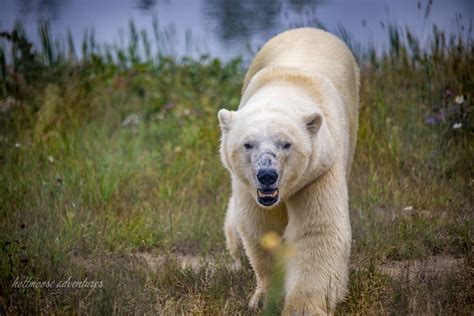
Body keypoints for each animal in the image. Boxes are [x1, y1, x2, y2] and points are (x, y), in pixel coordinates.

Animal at [218, 28, 360, 314]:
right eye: (248, 144)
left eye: (286, 144)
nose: (267, 175)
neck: (286, 86)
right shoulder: (246, 187)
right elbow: (262, 228)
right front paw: (264, 298)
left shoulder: (320, 170)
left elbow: (317, 232)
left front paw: (304, 306)